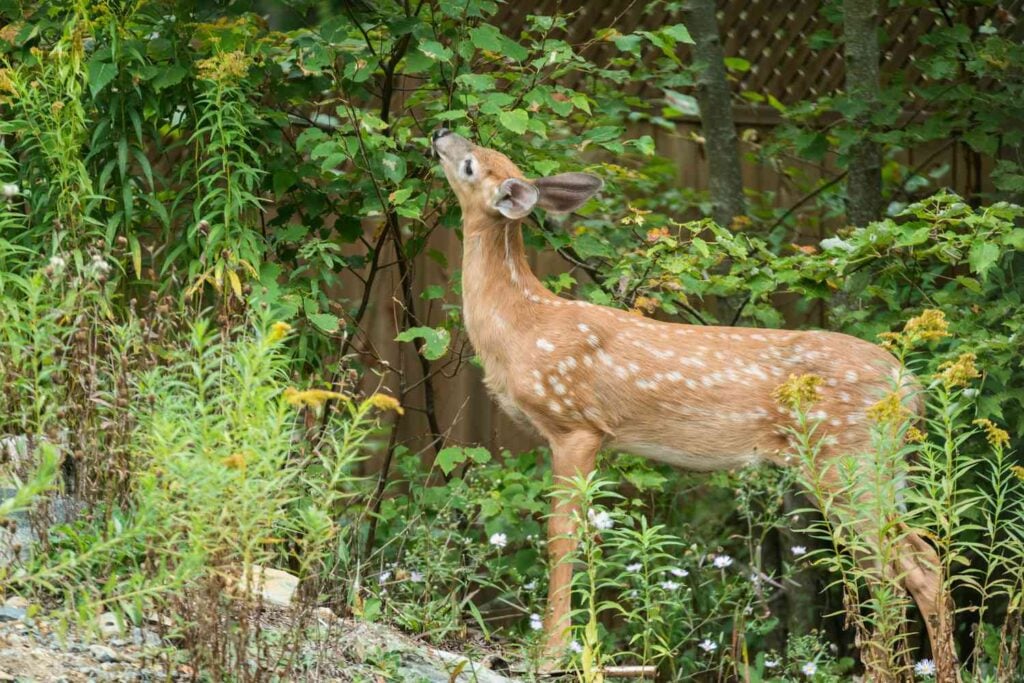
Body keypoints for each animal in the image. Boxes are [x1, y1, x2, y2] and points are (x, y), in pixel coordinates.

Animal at [428, 126, 954, 679]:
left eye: (470, 165)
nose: (441, 132)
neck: (522, 325)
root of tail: (910, 386)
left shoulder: (576, 425)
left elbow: (562, 535)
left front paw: (552, 655)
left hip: (845, 460)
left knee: (904, 566)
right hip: (881, 466)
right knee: (906, 563)